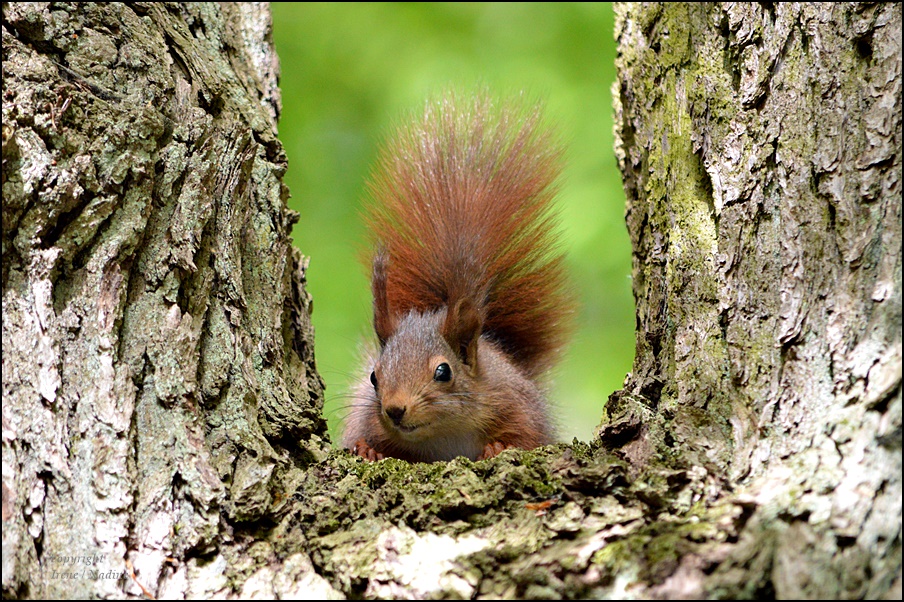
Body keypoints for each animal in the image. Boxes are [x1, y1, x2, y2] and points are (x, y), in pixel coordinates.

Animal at [340, 91, 572, 462]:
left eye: (443, 371)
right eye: (374, 377)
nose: (394, 409)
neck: (445, 432)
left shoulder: (515, 404)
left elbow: (527, 437)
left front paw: (498, 447)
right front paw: (367, 449)